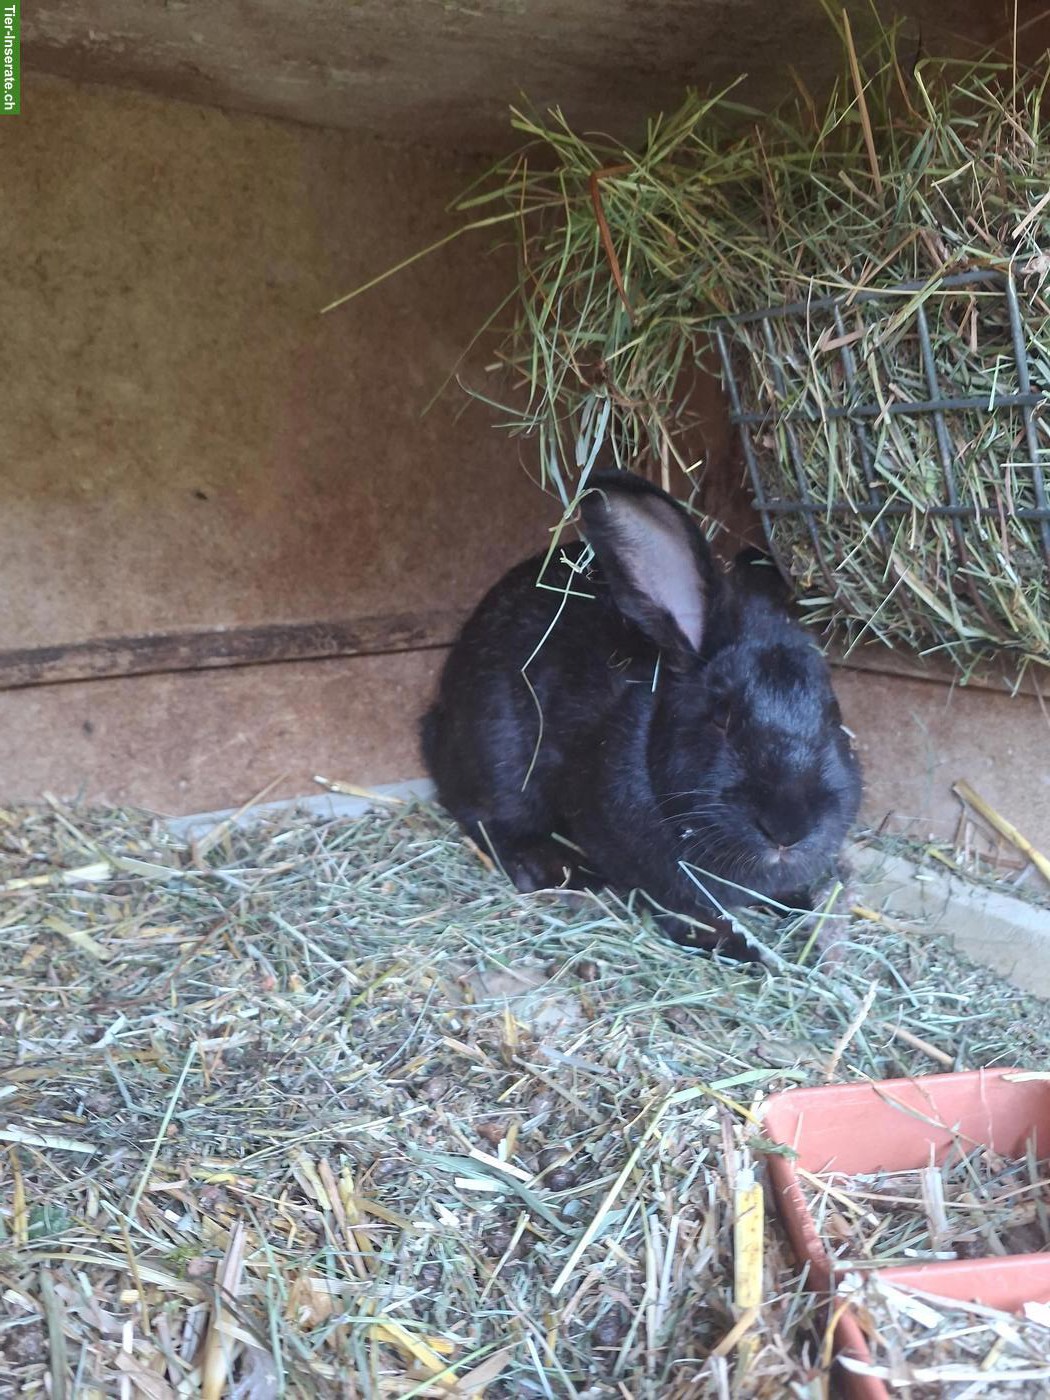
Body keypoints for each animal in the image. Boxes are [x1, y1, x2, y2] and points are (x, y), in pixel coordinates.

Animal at [421, 470, 862, 960]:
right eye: (722, 715)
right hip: (500, 758)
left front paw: (798, 901)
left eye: (832, 714)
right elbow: (688, 914)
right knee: (490, 821)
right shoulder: (664, 882)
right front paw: (740, 950)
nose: (788, 828)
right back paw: (558, 869)